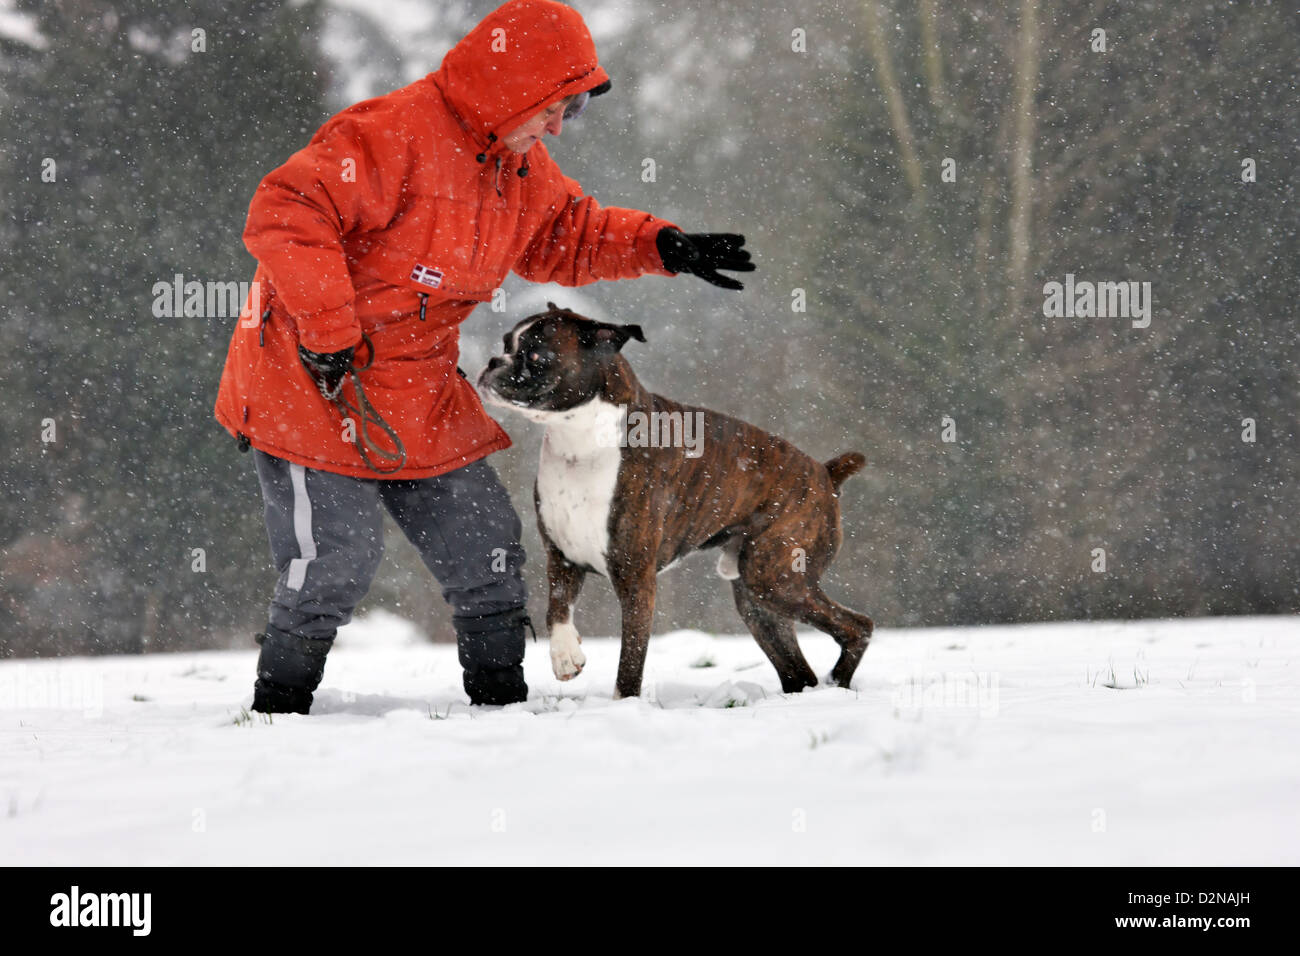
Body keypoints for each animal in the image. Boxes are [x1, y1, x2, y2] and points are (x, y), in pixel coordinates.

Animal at [478, 303, 873, 697]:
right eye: (506, 343)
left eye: (535, 355)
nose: (494, 361)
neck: (580, 439)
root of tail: (825, 472)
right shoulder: (561, 557)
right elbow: (556, 609)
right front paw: (565, 656)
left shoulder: (636, 577)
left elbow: (630, 660)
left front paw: (624, 703)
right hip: (757, 600)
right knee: (798, 671)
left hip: (776, 579)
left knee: (858, 626)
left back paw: (838, 682)